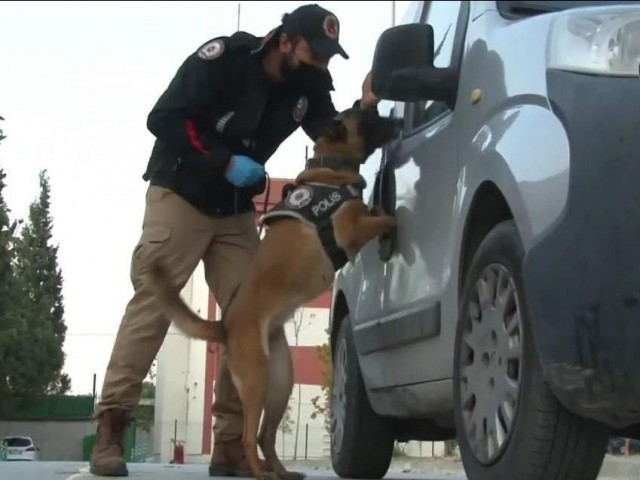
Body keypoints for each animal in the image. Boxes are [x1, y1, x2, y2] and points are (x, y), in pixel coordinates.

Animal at [148, 105, 402, 480]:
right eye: (368, 118)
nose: (396, 119)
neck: (331, 168)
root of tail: (225, 326)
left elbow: (379, 212)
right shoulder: (352, 230)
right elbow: (385, 219)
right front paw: (395, 220)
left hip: (281, 382)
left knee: (265, 437)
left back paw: (282, 471)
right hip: (257, 381)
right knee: (248, 436)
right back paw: (260, 471)